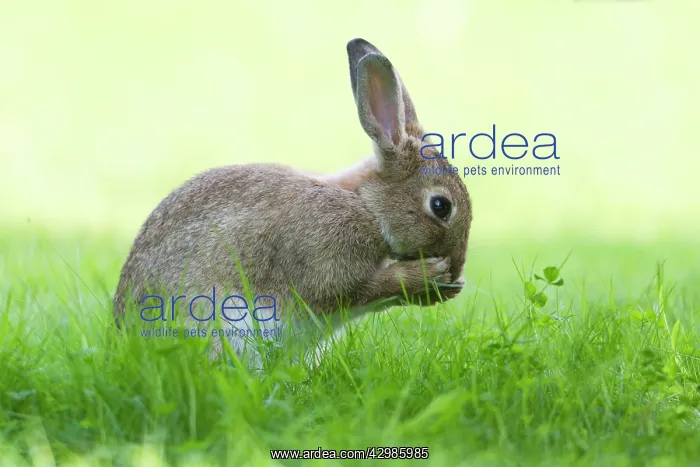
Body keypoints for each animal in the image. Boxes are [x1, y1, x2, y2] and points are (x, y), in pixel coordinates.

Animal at [112, 38, 473, 368]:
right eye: (441, 206)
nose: (457, 267)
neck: (365, 206)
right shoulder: (326, 265)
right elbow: (358, 290)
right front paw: (428, 276)